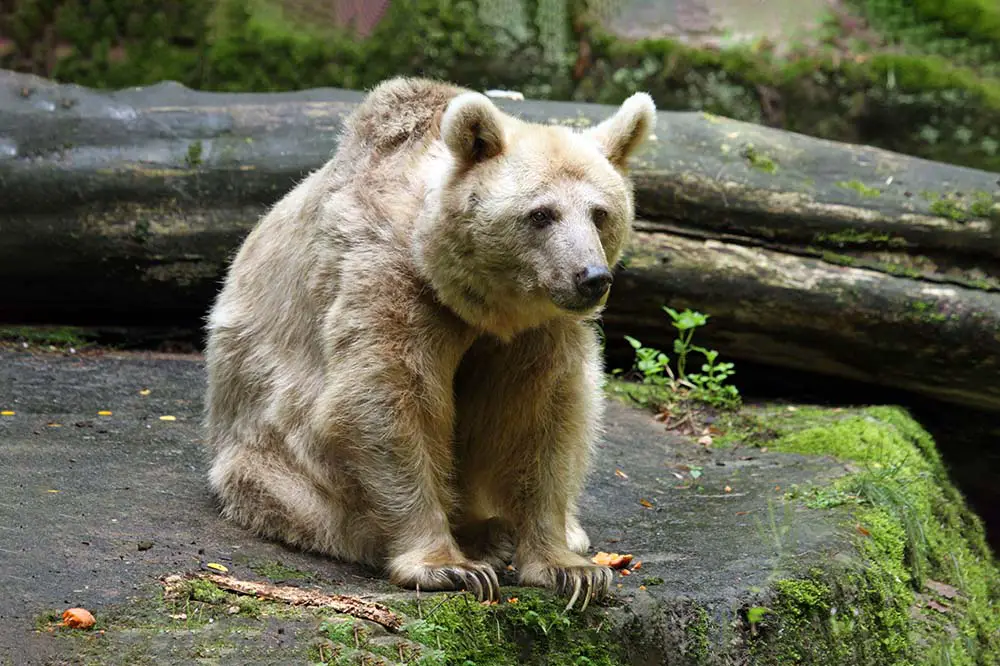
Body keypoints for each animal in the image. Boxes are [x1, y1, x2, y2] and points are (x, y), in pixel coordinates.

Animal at [203, 76, 656, 608]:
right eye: (542, 214)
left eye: (599, 213)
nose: (591, 277)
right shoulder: (389, 282)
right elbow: (390, 404)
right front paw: (450, 566)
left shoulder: (537, 330)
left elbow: (543, 415)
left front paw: (570, 568)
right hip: (274, 458)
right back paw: (483, 537)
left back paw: (551, 531)